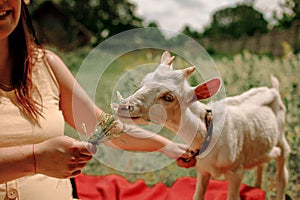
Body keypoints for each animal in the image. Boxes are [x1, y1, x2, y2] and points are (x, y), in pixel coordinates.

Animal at [117, 50, 290, 199]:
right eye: (143, 82)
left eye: (168, 97)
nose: (125, 107)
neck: (207, 132)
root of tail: (273, 89)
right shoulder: (202, 170)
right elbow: (198, 195)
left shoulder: (236, 171)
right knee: (262, 163)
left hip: (281, 138)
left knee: (282, 173)